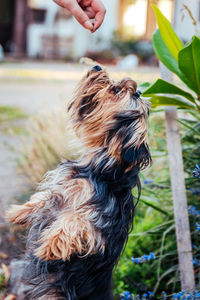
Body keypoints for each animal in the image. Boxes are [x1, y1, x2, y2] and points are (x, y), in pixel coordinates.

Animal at [7, 66, 152, 300]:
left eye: (115, 91)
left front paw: (48, 246)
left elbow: (75, 220)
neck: (101, 168)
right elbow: (42, 197)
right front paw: (16, 212)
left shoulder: (99, 221)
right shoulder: (62, 190)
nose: (96, 67)